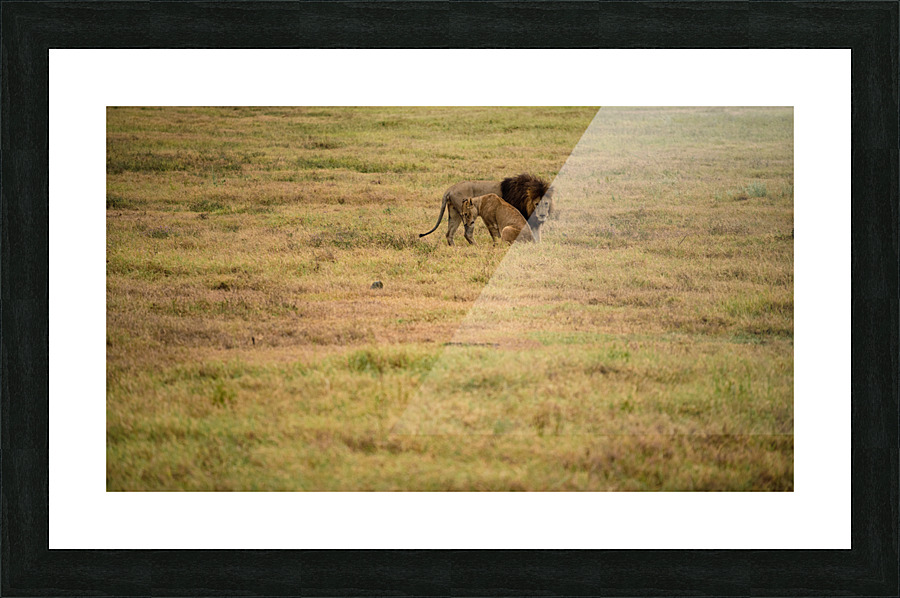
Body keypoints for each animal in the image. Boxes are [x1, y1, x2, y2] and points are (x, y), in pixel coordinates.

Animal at [419, 174, 554, 245]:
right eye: (537, 203)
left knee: (449, 233)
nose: (542, 215)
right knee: (467, 233)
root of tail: (450, 189)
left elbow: (537, 237)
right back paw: (477, 247)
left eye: (546, 203)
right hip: (466, 216)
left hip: (455, 213)